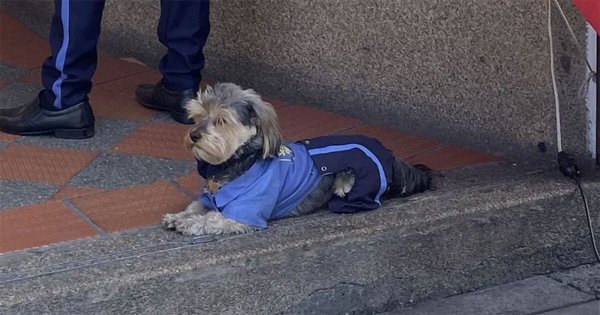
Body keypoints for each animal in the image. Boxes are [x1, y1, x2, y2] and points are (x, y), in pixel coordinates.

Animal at [163, 82, 432, 236]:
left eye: (221, 120)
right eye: (198, 116)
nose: (194, 135)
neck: (240, 162)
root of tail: (390, 154)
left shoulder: (243, 213)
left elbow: (213, 218)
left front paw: (190, 223)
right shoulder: (210, 197)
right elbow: (196, 206)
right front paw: (179, 216)